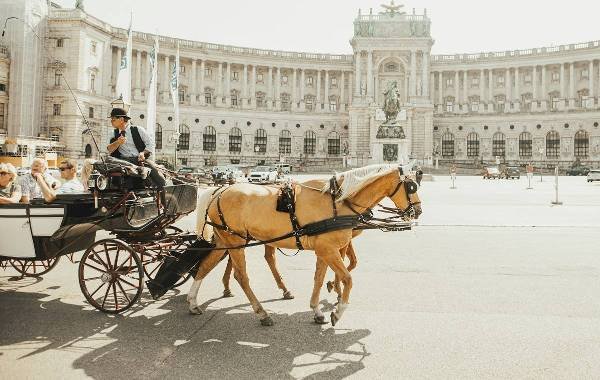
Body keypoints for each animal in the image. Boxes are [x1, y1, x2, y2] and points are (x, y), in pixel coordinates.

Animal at [189, 165, 422, 326]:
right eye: (411, 186)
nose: (418, 212)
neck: (338, 203)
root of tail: (219, 190)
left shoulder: (325, 250)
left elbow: (319, 278)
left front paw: (318, 309)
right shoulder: (329, 249)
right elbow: (348, 277)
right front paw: (338, 310)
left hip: (226, 239)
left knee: (206, 265)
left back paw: (193, 302)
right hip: (236, 241)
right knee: (242, 275)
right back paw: (262, 313)